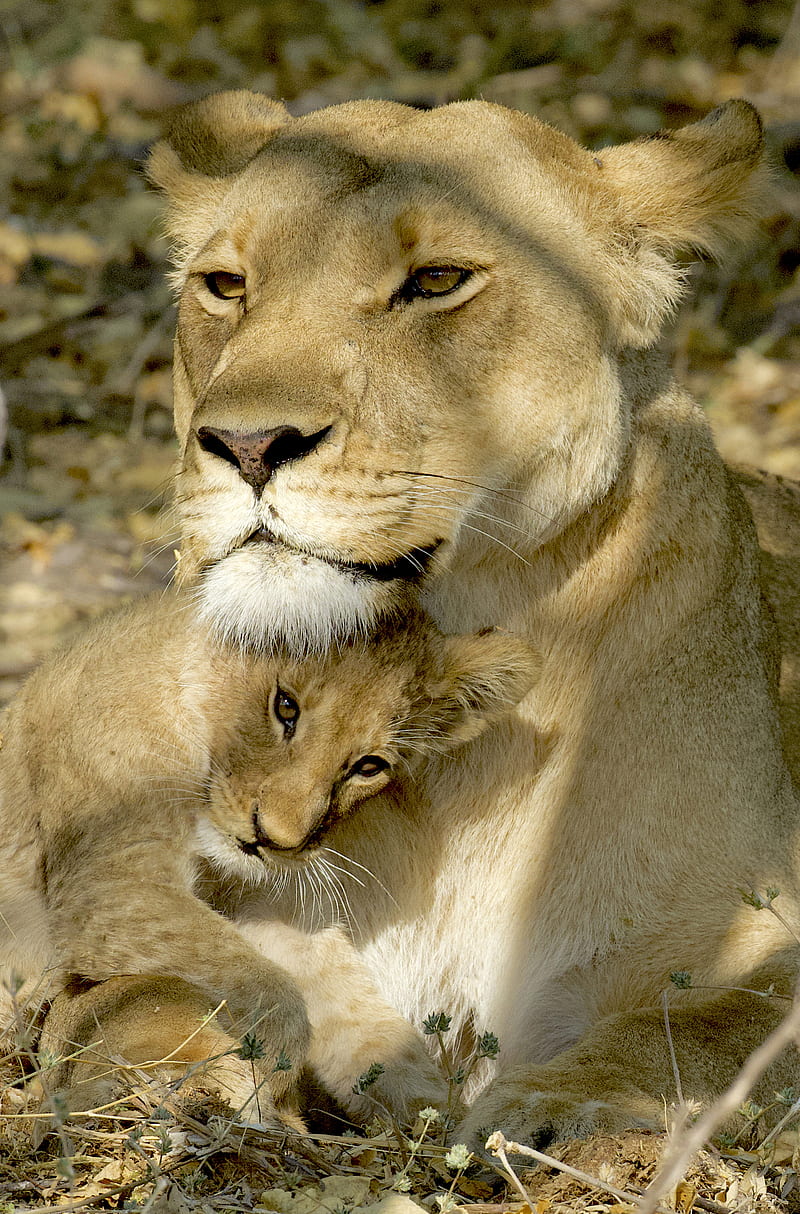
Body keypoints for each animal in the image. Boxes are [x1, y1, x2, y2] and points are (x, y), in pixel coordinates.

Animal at [0, 589, 538, 1120]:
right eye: (285, 707)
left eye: (369, 766)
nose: (274, 840)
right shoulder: (108, 884)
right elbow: (266, 988)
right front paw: (261, 1076)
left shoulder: (262, 908)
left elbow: (350, 1011)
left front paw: (442, 1122)